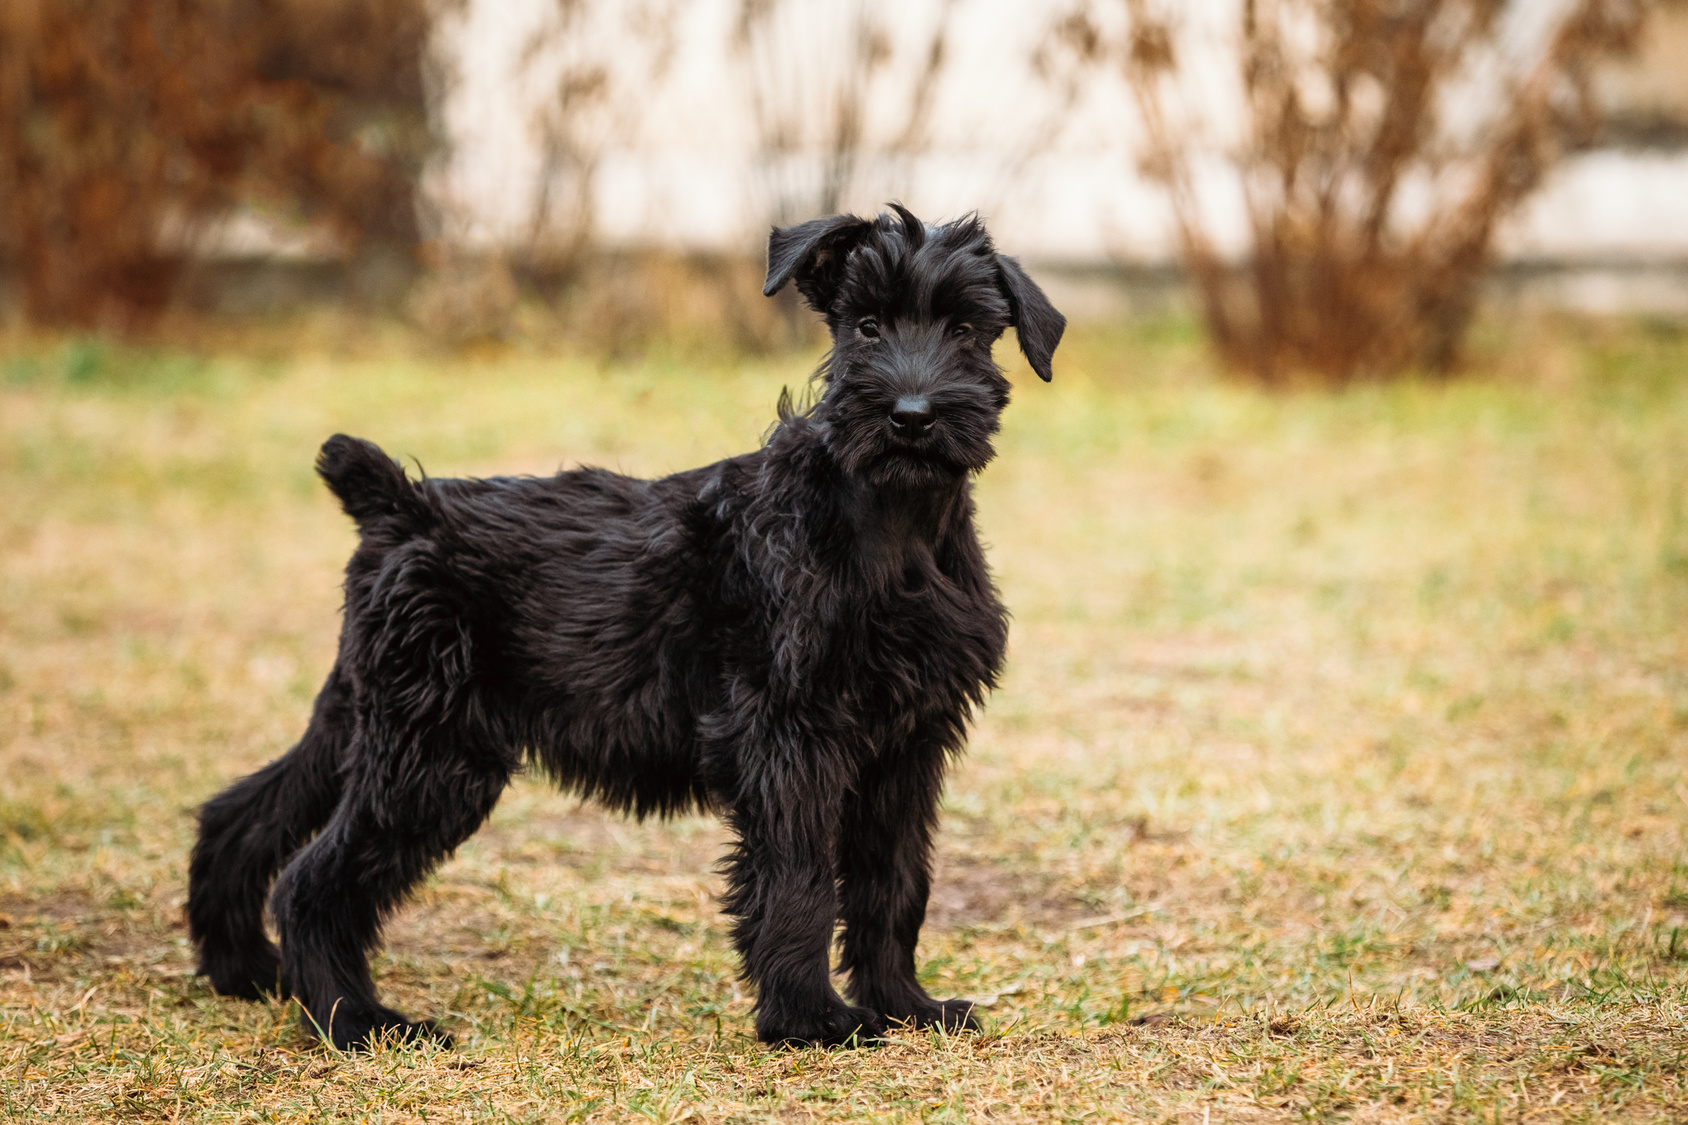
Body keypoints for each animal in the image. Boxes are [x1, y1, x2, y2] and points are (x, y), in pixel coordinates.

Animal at [184, 203, 1053, 1054]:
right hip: (431, 755)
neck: (890, 527)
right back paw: (356, 1021)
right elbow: (800, 878)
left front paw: (905, 1005)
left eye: (967, 331)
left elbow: (894, 882)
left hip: (367, 718)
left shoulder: (907, 745)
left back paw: (245, 968)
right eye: (867, 325)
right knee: (311, 880)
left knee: (243, 813)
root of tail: (401, 504)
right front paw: (810, 1020)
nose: (912, 415)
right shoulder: (791, 736)